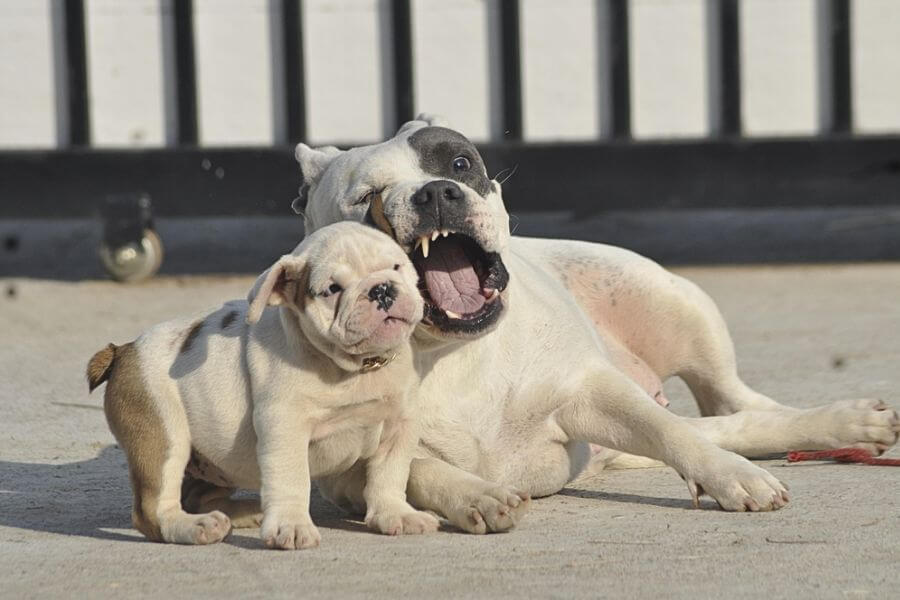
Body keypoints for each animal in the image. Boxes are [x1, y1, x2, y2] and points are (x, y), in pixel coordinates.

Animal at [86, 221, 438, 548]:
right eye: (332, 289)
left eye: (396, 267)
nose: (381, 289)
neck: (359, 368)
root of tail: (123, 350)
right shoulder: (285, 426)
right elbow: (291, 477)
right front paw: (292, 527)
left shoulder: (400, 425)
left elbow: (389, 475)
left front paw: (396, 514)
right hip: (161, 434)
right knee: (154, 508)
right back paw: (194, 527)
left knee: (198, 496)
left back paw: (244, 512)